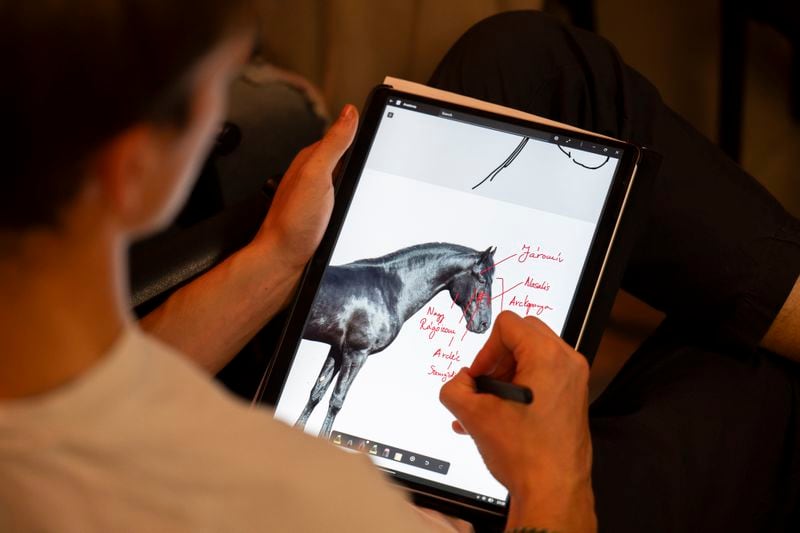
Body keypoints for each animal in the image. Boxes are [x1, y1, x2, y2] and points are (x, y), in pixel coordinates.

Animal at [296, 241, 494, 436]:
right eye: (482, 280)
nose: (485, 324)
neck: (388, 290)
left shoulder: (338, 349)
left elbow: (317, 393)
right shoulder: (356, 353)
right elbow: (336, 401)